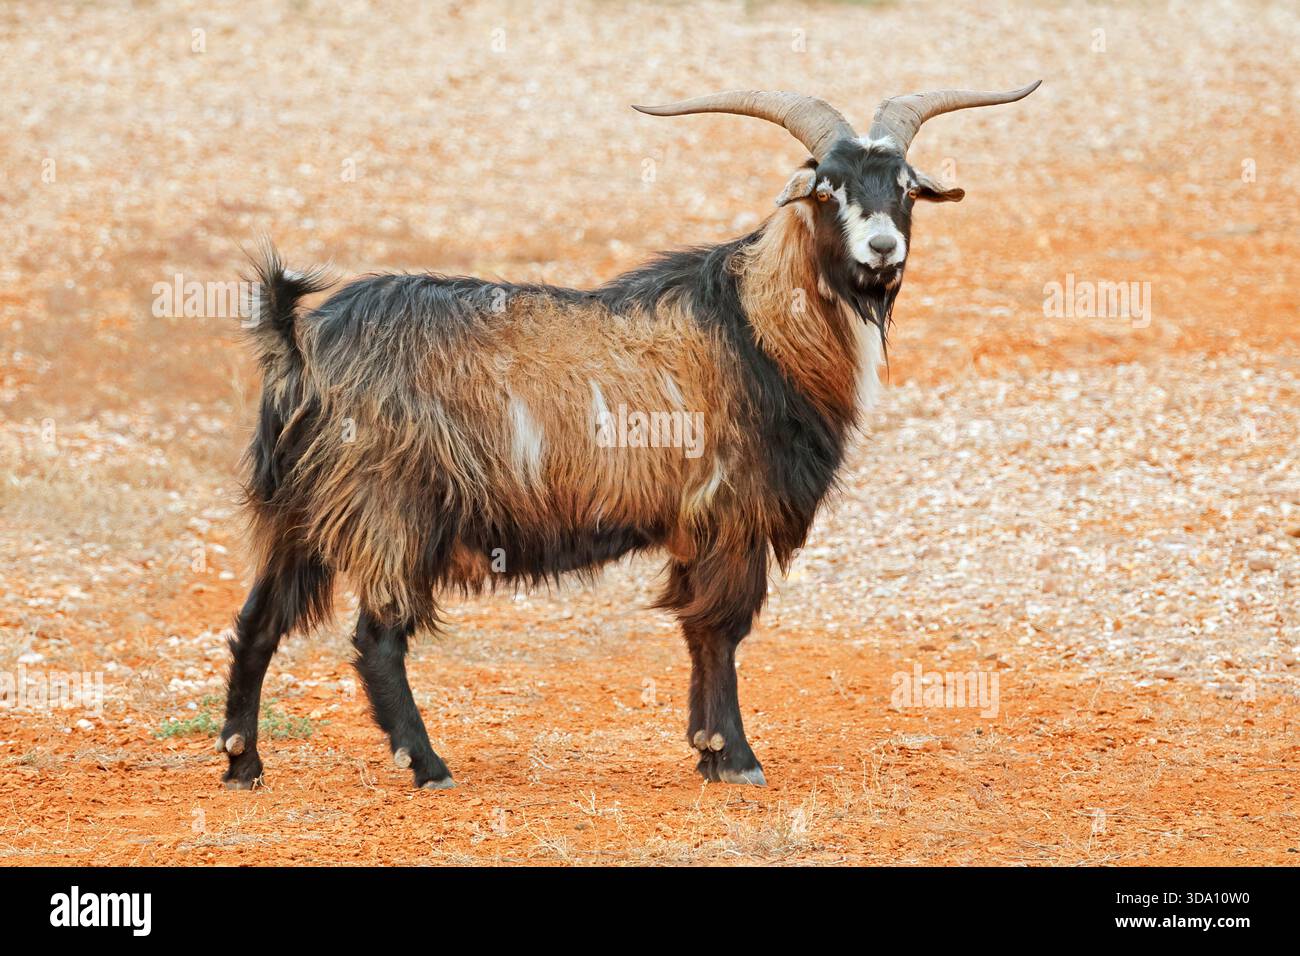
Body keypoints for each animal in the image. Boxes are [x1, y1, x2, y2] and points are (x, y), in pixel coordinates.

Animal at [218, 82, 1041, 790]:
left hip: (298, 511)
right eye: (826, 188)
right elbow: (720, 629)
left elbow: (697, 629)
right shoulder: (734, 511)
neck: (755, 327)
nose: (881, 250)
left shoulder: (699, 522)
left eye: (903, 186)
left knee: (257, 622)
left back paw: (241, 761)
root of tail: (300, 342)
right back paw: (426, 764)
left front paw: (707, 751)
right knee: (378, 637)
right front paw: (736, 757)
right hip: (391, 507)